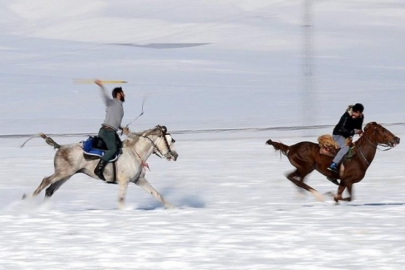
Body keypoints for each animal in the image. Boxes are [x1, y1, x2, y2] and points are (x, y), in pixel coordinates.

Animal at [23, 125, 178, 209]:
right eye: (170, 140)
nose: (175, 155)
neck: (135, 152)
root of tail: (60, 147)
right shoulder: (124, 181)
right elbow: (121, 200)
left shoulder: (139, 180)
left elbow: (157, 194)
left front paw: (173, 207)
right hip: (62, 173)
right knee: (45, 181)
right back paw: (26, 199)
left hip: (66, 175)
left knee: (50, 190)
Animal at [266, 122, 398, 202]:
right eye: (383, 130)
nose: (397, 139)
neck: (359, 156)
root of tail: (291, 147)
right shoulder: (347, 180)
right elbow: (343, 197)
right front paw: (329, 194)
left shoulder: (345, 182)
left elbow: (343, 197)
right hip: (306, 167)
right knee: (296, 180)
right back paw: (317, 195)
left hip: (303, 169)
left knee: (295, 179)